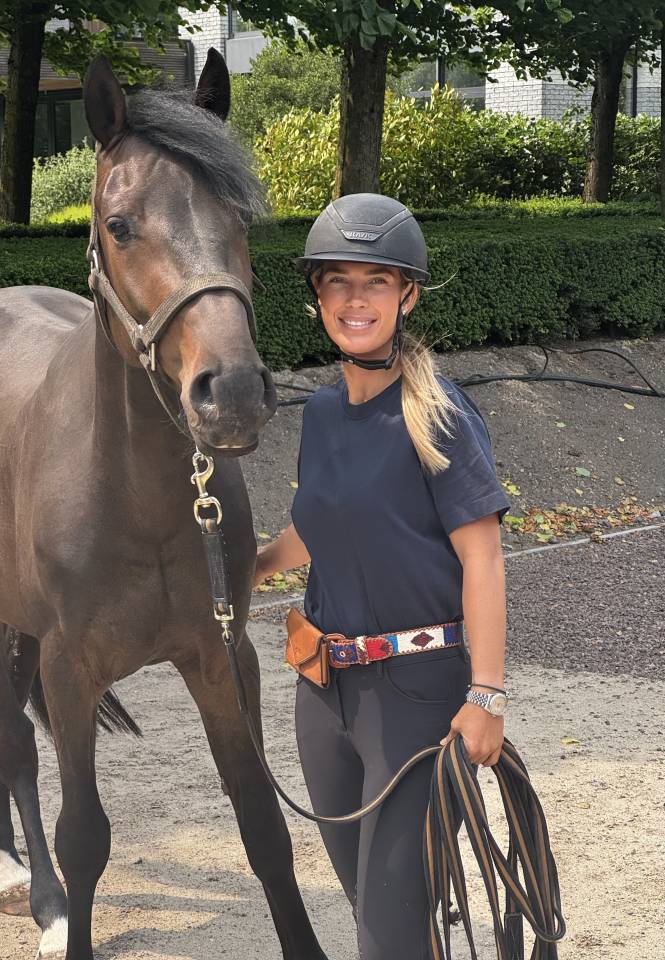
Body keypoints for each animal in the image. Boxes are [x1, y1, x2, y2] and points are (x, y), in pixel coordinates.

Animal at [0, 50, 327, 960]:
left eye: (242, 216)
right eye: (118, 224)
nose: (235, 393)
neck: (136, 495)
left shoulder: (221, 657)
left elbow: (264, 825)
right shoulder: (68, 667)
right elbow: (85, 836)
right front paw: (67, 912)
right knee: (17, 751)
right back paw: (39, 896)